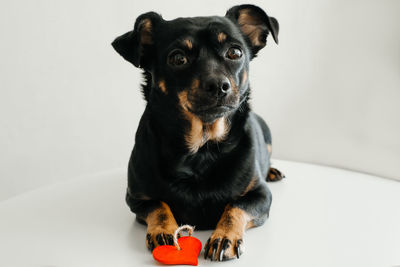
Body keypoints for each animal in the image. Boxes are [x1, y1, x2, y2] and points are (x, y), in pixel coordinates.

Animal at [111, 4, 282, 262]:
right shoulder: (136, 199)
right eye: (178, 58)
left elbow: (235, 207)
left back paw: (272, 171)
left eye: (235, 52)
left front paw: (224, 237)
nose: (219, 85)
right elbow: (159, 206)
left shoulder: (260, 195)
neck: (202, 149)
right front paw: (164, 231)